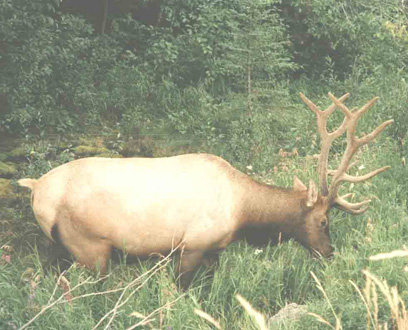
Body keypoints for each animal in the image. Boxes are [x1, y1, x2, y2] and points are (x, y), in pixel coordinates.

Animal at [18, 93, 392, 288]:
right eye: (324, 221)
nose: (330, 252)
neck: (242, 214)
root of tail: (36, 189)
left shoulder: (214, 250)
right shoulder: (191, 245)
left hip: (59, 251)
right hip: (91, 248)